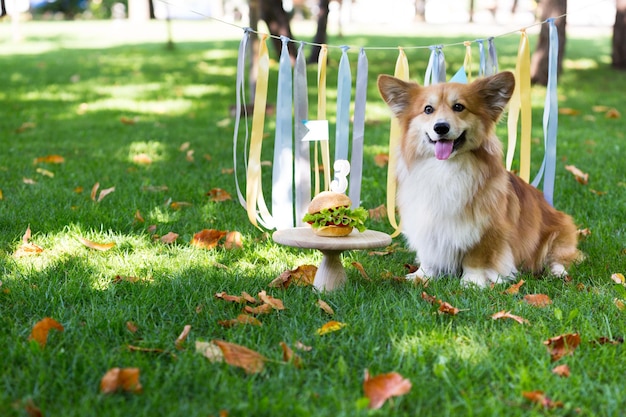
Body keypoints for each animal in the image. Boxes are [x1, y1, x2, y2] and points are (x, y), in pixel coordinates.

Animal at [376, 71, 580, 286]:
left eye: (459, 107)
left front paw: (472, 283)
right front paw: (421, 276)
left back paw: (558, 273)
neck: (445, 169)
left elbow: (477, 259)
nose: (441, 127)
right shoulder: (427, 224)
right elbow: (429, 257)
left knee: (558, 259)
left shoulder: (487, 230)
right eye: (428, 109)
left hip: (558, 235)